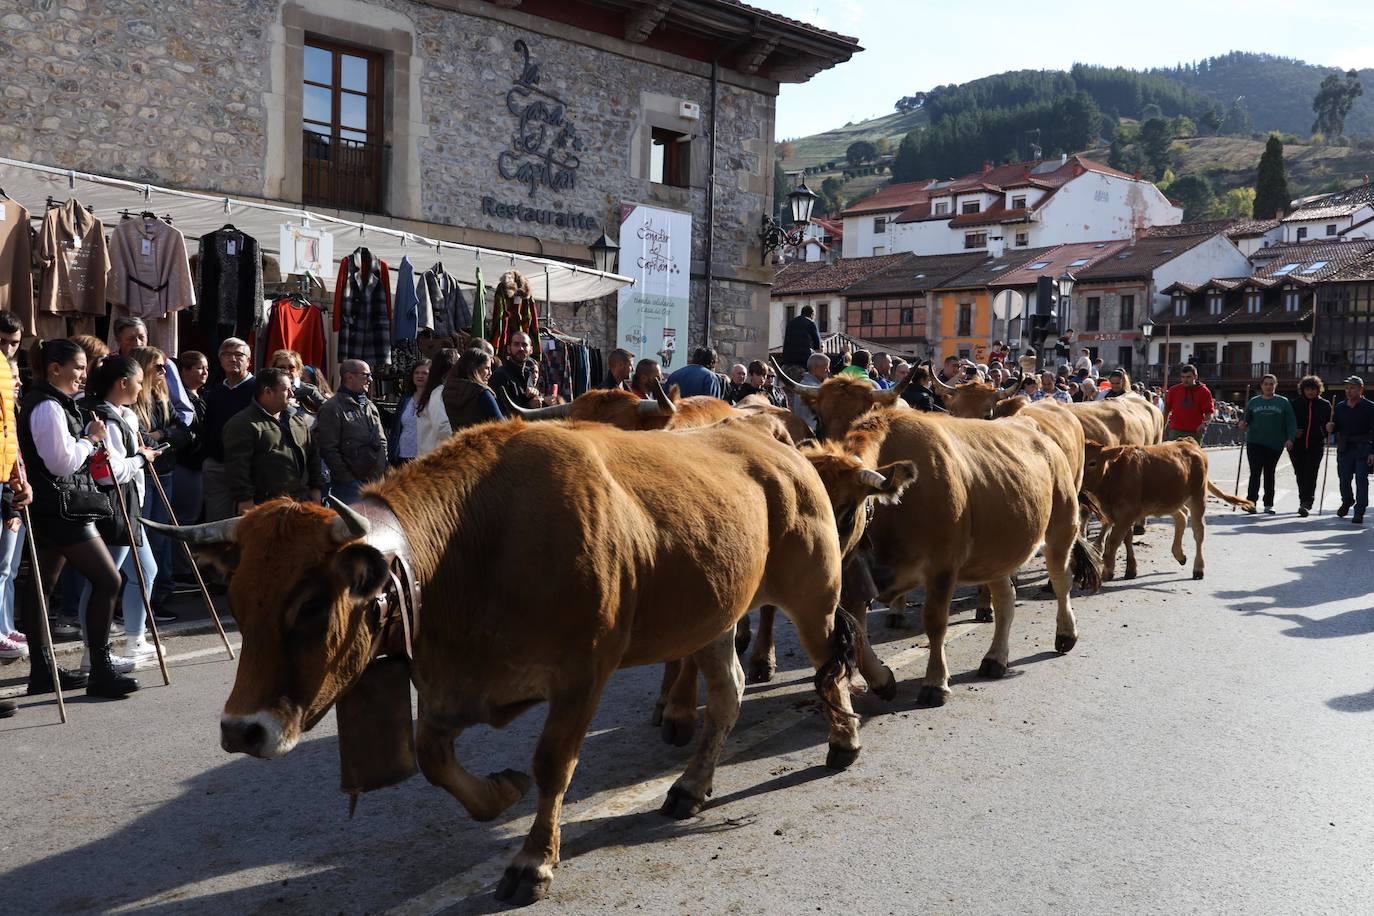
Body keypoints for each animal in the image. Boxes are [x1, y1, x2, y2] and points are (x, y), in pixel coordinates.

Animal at [1082, 436, 1258, 579]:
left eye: (1092, 463)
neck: (1114, 474)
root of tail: (1187, 441)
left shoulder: (1128, 513)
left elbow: (1114, 541)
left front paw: (1107, 572)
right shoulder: (1119, 514)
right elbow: (1127, 539)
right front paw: (1131, 569)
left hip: (1198, 497)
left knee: (1199, 531)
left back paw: (1198, 568)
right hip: (1171, 500)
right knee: (1181, 516)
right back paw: (1179, 554)